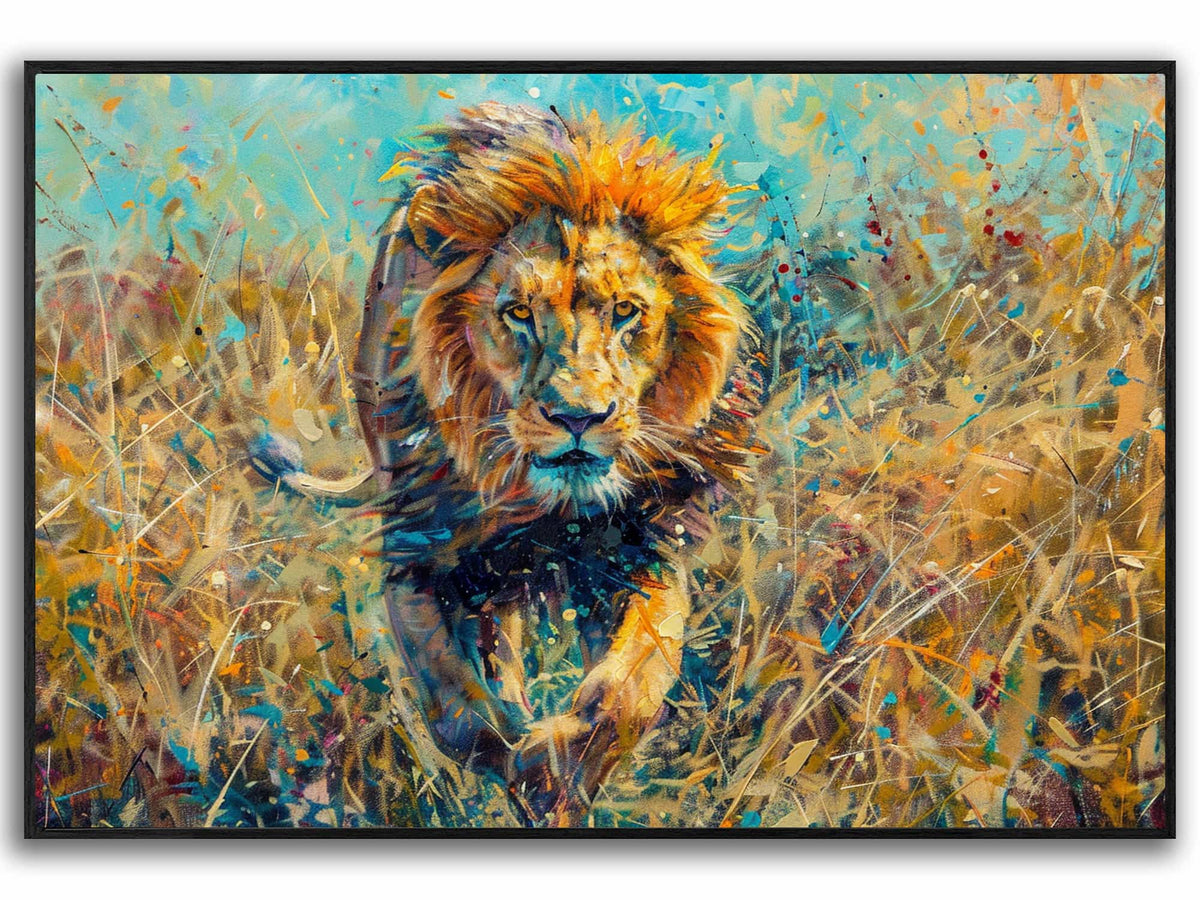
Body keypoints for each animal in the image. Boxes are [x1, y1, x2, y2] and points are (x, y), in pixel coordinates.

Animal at [353, 103, 764, 824]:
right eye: (518, 313)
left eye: (626, 311)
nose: (578, 417)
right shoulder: (420, 557)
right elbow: (461, 714)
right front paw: (524, 765)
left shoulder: (642, 550)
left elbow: (625, 694)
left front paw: (557, 770)